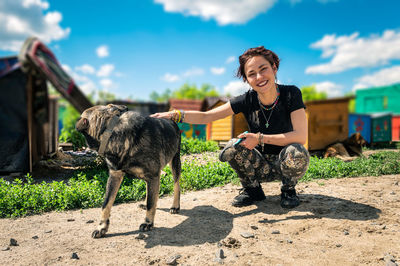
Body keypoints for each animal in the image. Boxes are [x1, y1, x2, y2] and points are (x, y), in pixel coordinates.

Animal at [75, 104, 181, 239]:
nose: (81, 150)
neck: (111, 130)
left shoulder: (153, 176)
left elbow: (151, 203)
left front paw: (148, 223)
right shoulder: (114, 176)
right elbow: (106, 204)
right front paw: (101, 227)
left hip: (175, 162)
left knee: (176, 185)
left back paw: (175, 206)